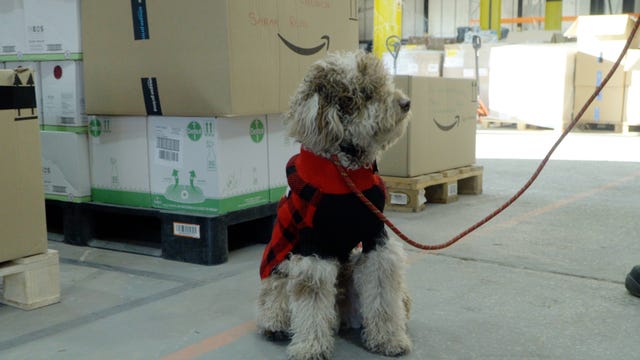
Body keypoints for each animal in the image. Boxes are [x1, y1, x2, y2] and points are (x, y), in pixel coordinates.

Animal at [255, 50, 410, 360]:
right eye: (366, 92)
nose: (405, 102)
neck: (346, 173)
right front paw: (310, 346)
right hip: (281, 267)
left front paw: (388, 338)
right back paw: (275, 323)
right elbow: (312, 302)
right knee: (274, 295)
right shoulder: (314, 248)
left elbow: (383, 294)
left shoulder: (375, 238)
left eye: (383, 82)